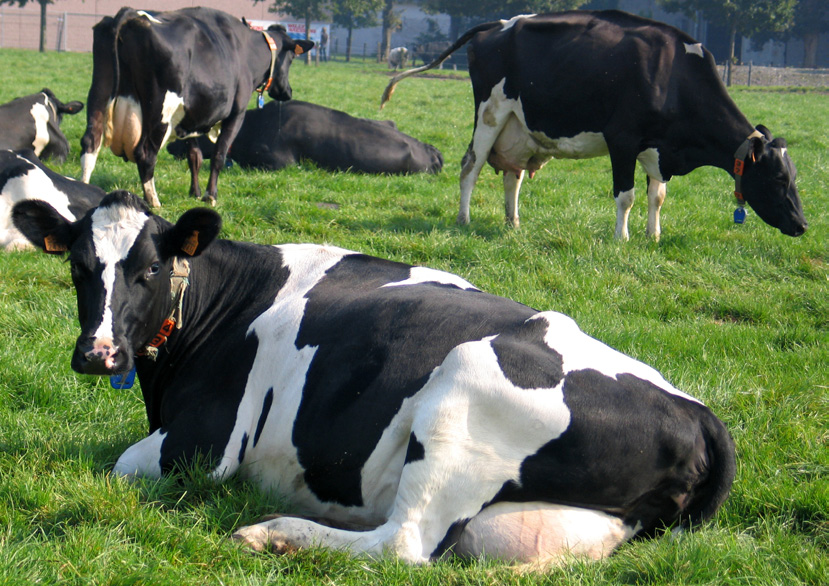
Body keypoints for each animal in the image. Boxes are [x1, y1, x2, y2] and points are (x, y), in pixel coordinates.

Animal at [12, 188, 736, 564]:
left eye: (150, 269)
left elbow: (119, 465)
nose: (98, 354)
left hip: (460, 395)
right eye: (77, 266)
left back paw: (275, 531)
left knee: (402, 543)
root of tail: (699, 412)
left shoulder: (204, 445)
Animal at [78, 8, 314, 206]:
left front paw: (195, 192)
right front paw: (210, 195)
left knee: (91, 142)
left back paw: (84, 188)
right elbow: (219, 155)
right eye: (292, 58)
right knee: (145, 154)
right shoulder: (236, 114)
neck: (247, 51)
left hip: (99, 92)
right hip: (160, 111)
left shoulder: (190, 119)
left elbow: (195, 157)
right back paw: (154, 202)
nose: (287, 92)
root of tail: (133, 15)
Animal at [384, 9, 808, 237]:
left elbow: (657, 196)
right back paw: (464, 218)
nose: (802, 225)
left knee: (512, 176)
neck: (673, 75)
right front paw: (622, 238)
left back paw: (514, 222)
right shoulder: (623, 139)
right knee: (470, 166)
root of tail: (499, 24)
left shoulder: (657, 147)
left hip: (519, 127)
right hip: (491, 111)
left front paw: (654, 235)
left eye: (792, 177)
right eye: (777, 179)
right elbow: (626, 195)